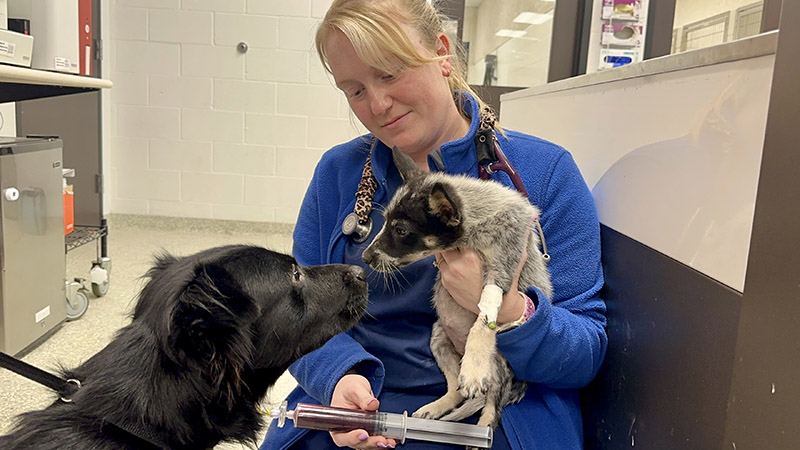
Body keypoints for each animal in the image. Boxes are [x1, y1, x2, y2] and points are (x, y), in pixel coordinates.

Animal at [360, 150, 552, 436]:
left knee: (493, 403)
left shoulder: (501, 272)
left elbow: (483, 321)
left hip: (498, 367)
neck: (475, 225)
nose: (365, 257)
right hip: (438, 339)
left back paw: (482, 429)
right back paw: (437, 407)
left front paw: (473, 367)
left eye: (401, 230)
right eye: (384, 223)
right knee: (457, 390)